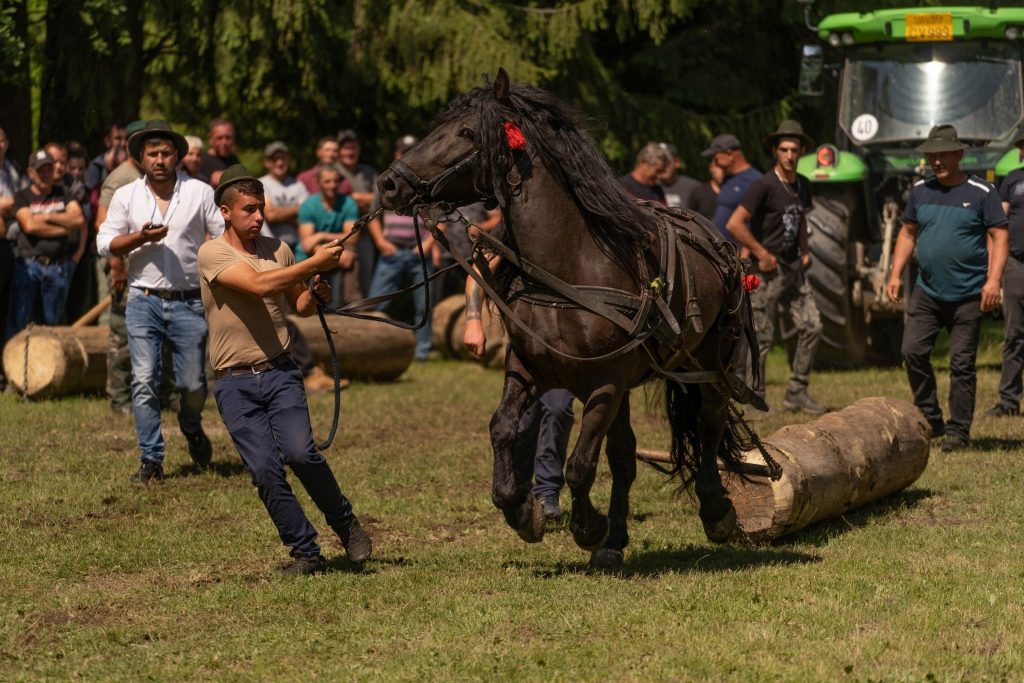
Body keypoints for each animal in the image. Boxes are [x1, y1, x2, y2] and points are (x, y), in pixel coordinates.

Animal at [380, 70, 765, 573]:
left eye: (465, 133)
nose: (388, 183)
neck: (570, 267)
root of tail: (717, 240)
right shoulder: (528, 369)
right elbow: (503, 428)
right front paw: (522, 510)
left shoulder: (605, 384)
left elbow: (580, 464)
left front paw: (587, 527)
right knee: (625, 458)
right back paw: (615, 542)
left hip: (709, 364)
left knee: (709, 424)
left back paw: (715, 512)